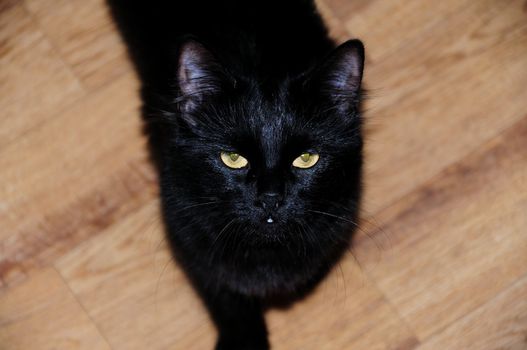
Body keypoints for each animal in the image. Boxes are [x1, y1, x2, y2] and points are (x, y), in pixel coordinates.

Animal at [106, 1, 364, 348]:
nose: (270, 198)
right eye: (233, 158)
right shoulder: (188, 233)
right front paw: (243, 339)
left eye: (306, 159)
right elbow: (227, 297)